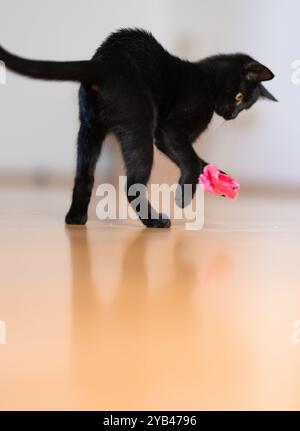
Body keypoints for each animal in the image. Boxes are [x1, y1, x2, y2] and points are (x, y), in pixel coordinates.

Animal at [0, 28, 276, 228]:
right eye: (240, 97)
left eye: (245, 106)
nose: (232, 115)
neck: (205, 80)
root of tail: (103, 63)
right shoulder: (169, 130)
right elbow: (191, 159)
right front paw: (184, 196)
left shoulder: (166, 139)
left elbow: (197, 160)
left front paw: (220, 178)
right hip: (139, 127)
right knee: (132, 184)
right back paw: (155, 221)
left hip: (89, 130)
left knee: (83, 176)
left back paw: (76, 218)